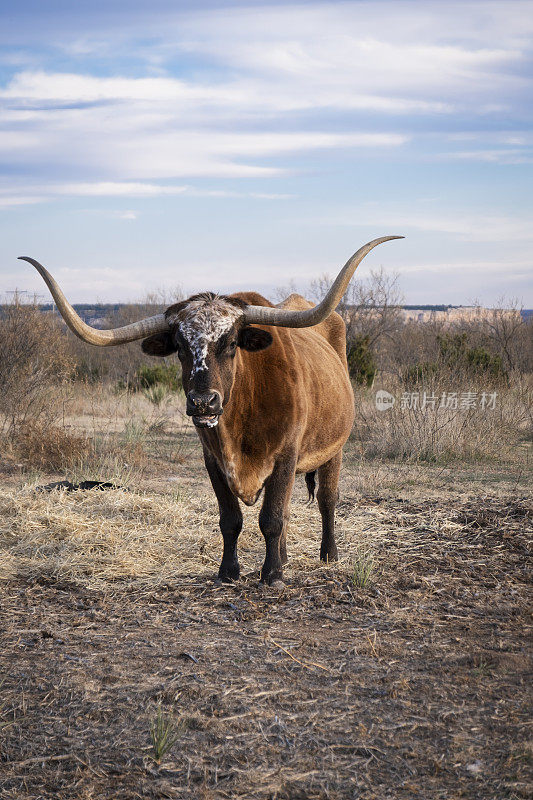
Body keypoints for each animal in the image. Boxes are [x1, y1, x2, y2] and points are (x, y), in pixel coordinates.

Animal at [21, 234, 404, 584]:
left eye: (232, 343)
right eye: (179, 347)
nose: (203, 402)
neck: (242, 417)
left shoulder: (285, 455)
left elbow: (271, 518)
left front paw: (272, 575)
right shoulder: (213, 460)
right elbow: (232, 519)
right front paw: (230, 571)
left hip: (334, 449)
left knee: (326, 498)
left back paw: (328, 554)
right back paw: (285, 556)